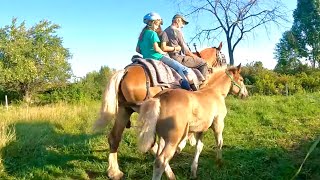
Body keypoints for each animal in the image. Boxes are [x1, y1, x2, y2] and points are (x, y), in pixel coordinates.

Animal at [92, 42, 226, 180]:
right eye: (223, 57)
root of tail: (126, 72)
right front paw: (188, 142)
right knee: (153, 147)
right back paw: (170, 173)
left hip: (125, 110)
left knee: (115, 137)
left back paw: (114, 172)